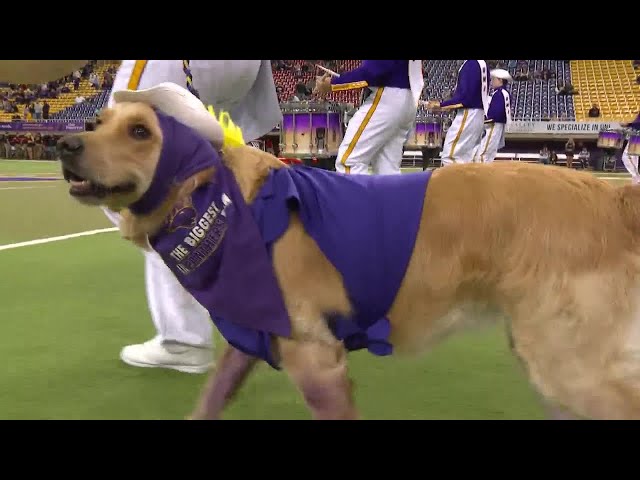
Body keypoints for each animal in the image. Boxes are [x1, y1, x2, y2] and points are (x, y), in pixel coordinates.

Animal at [58, 100, 640, 420]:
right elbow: (210, 401)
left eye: (141, 132)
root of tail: (613, 197)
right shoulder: (252, 341)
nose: (64, 143)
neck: (227, 204)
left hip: (568, 366)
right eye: (96, 121)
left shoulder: (318, 361)